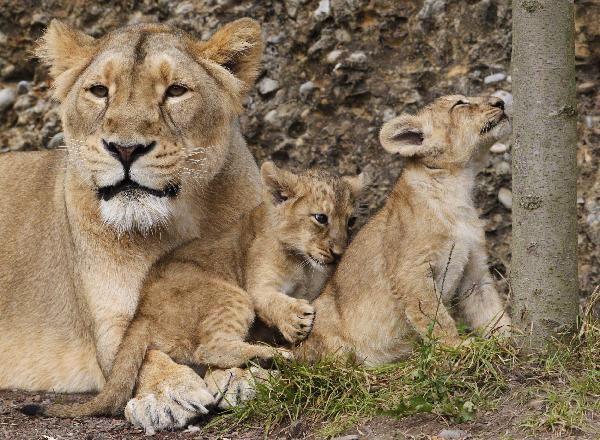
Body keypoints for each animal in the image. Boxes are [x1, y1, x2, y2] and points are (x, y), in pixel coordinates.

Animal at [1, 18, 262, 432]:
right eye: (99, 91)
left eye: (175, 91)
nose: (125, 148)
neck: (174, 222)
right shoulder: (109, 321)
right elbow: (138, 358)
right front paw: (168, 394)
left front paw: (242, 376)